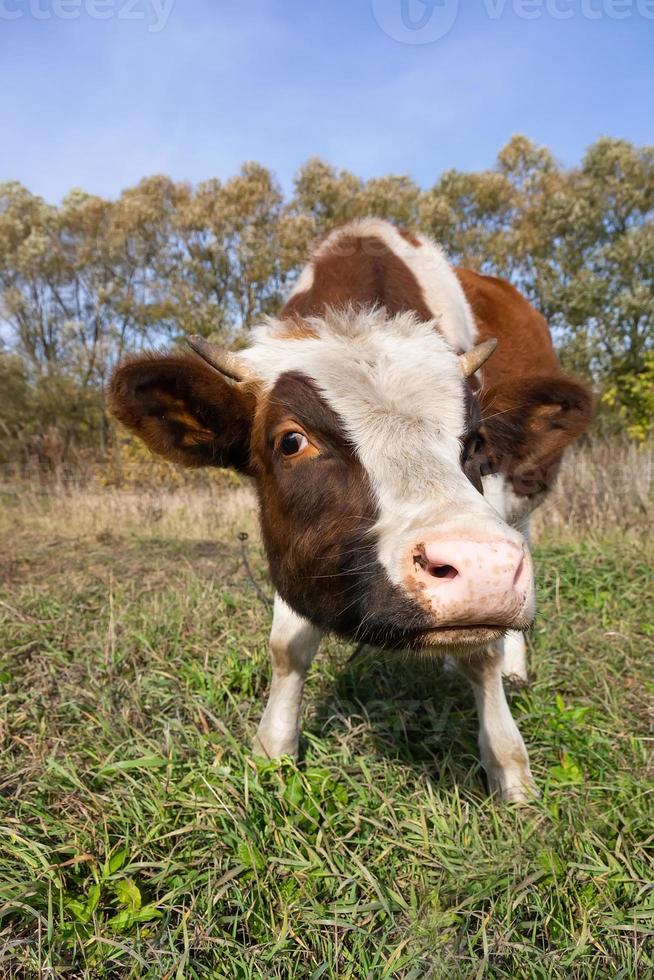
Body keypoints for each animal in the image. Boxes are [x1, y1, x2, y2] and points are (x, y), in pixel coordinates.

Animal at [109, 218, 596, 800]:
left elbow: (483, 652)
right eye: (291, 441)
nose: (482, 567)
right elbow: (288, 646)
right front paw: (273, 749)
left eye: (476, 440)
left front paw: (508, 766)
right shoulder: (293, 543)